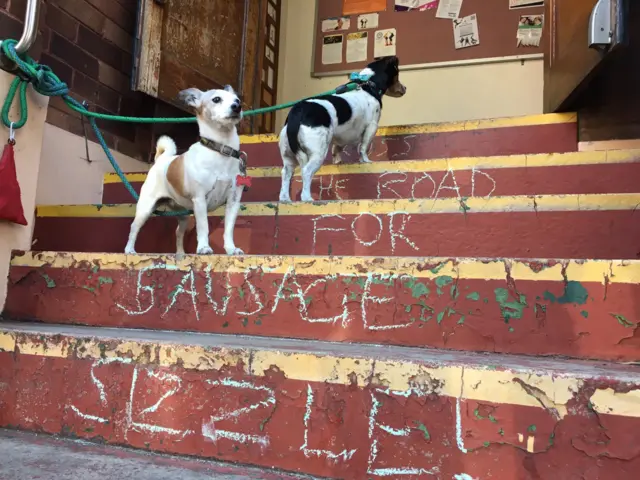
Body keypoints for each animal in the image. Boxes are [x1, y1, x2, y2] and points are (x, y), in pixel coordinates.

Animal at [124, 86, 248, 258]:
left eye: (237, 100)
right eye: (216, 99)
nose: (237, 107)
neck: (220, 149)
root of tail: (161, 159)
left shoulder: (233, 201)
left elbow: (228, 230)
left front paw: (231, 249)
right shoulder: (200, 200)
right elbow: (203, 227)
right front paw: (204, 248)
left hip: (183, 216)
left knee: (178, 232)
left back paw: (180, 253)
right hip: (146, 208)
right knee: (134, 227)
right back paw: (129, 250)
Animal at [278, 56, 404, 202]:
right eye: (397, 74)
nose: (405, 88)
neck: (367, 85)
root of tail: (298, 110)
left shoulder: (342, 136)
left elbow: (337, 148)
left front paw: (337, 161)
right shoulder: (372, 126)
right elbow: (363, 148)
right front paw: (365, 161)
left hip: (288, 155)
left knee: (286, 173)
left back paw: (285, 199)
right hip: (318, 152)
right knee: (306, 172)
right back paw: (307, 198)